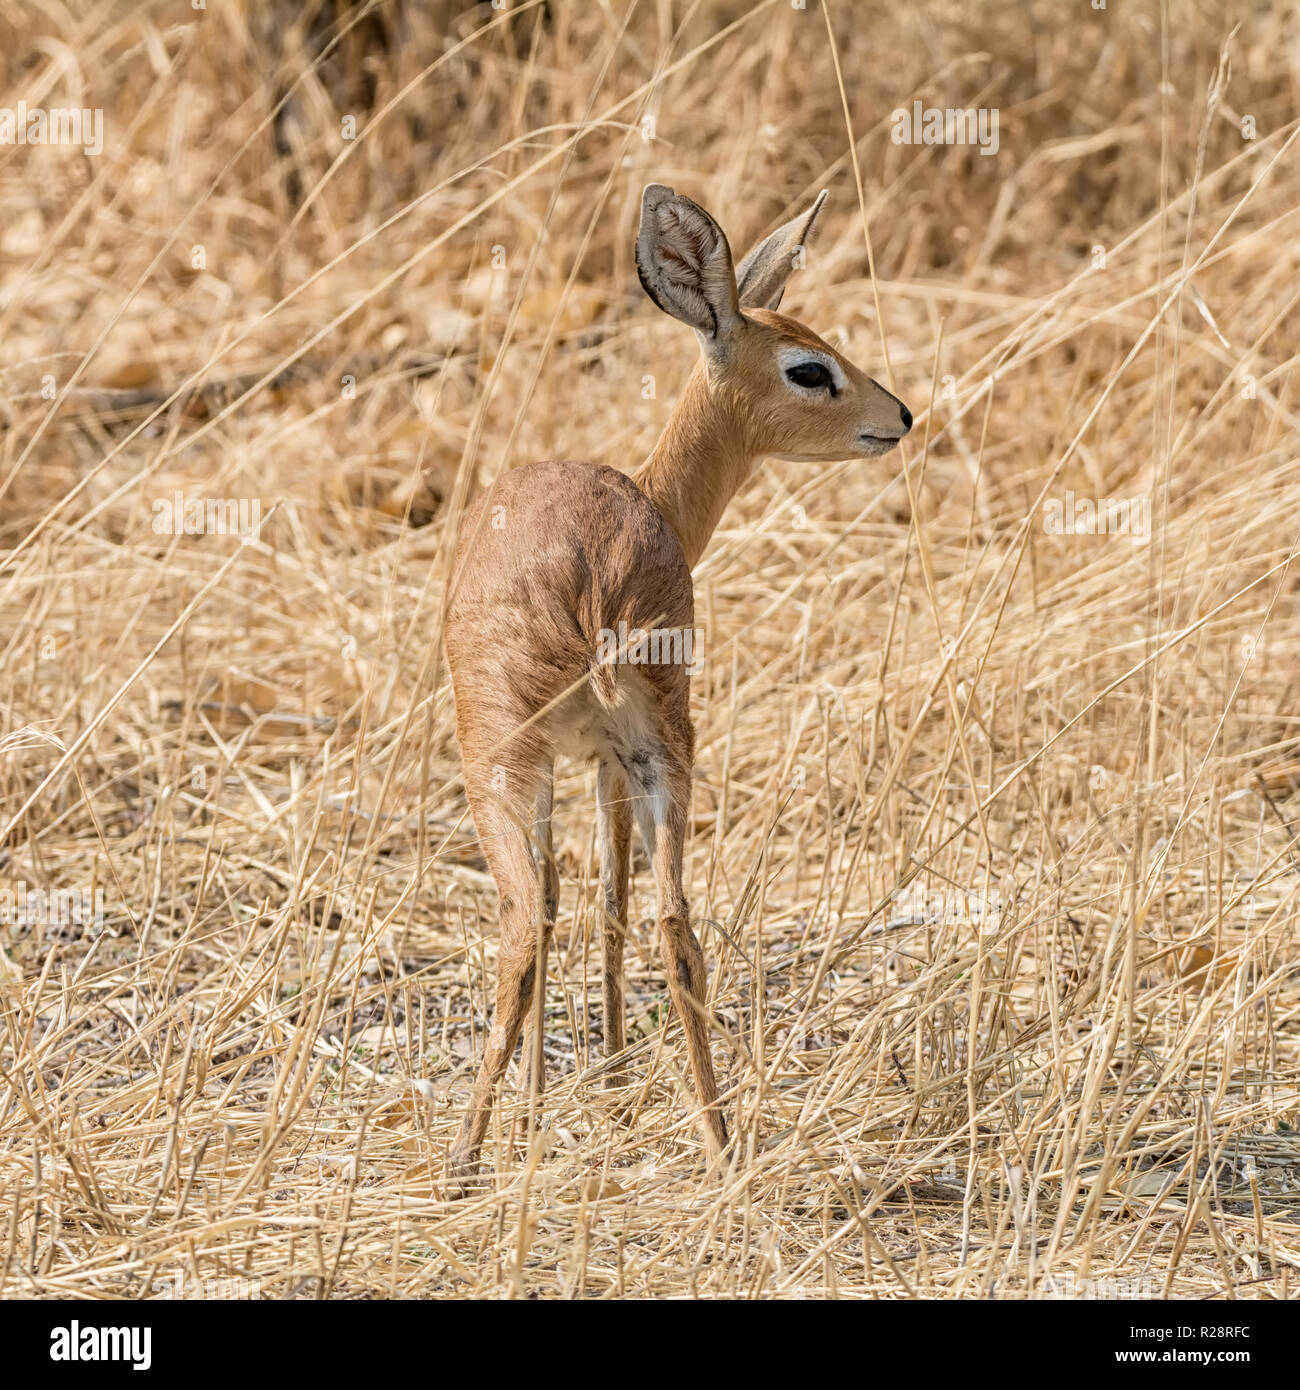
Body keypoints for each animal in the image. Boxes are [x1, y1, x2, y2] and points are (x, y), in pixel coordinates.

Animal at [442, 182, 912, 1184]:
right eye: (809, 367)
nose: (900, 416)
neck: (655, 498)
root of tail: (592, 575)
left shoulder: (590, 762)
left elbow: (583, 904)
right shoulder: (603, 761)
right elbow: (598, 904)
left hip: (522, 762)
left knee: (533, 925)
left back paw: (467, 1158)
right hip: (651, 749)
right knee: (671, 925)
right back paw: (719, 1144)